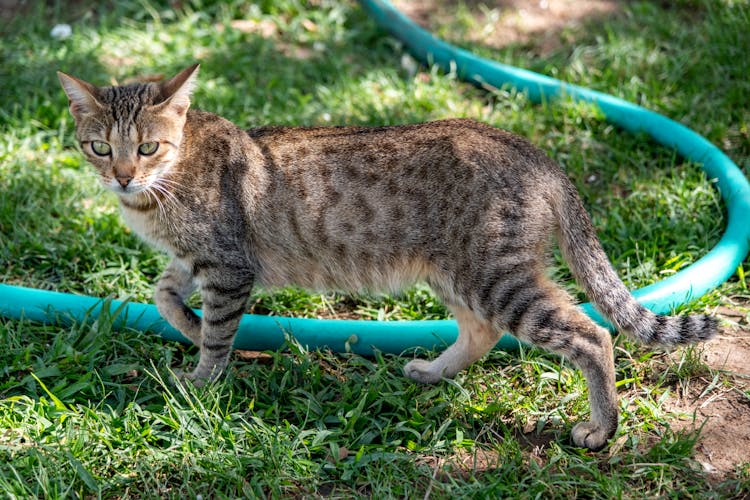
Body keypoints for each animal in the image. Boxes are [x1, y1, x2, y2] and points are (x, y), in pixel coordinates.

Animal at [57, 64, 716, 452]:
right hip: (461, 274)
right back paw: (433, 371)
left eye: (147, 147)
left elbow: (218, 332)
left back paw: (601, 428)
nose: (122, 177)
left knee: (591, 335)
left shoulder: (226, 265)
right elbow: (162, 294)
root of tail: (531, 148)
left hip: (495, 277)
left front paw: (200, 380)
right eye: (99, 147)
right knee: (482, 332)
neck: (158, 193)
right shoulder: (196, 260)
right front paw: (187, 328)